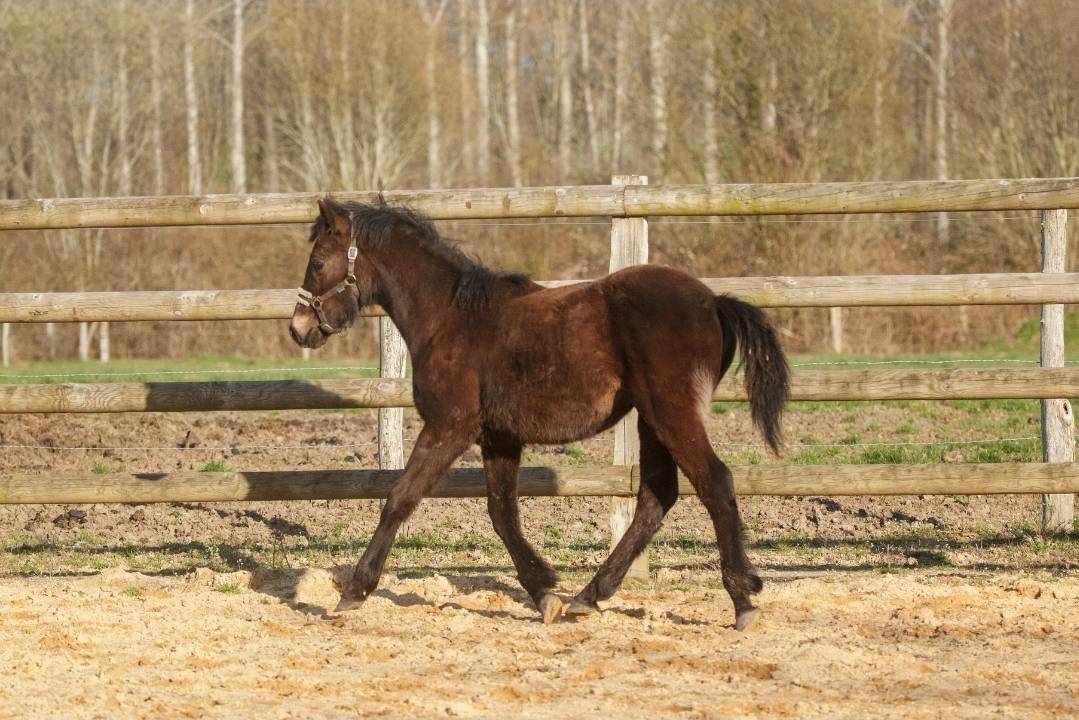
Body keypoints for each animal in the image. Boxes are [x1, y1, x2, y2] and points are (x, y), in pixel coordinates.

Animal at [289, 198, 790, 630]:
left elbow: (400, 498)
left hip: (671, 412)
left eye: (317, 263)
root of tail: (714, 302)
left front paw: (353, 591)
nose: (299, 329)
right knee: (656, 496)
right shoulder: (499, 437)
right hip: (651, 420)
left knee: (714, 482)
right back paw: (588, 596)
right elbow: (502, 513)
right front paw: (545, 593)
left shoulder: (449, 426)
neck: (451, 319)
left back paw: (743, 598)